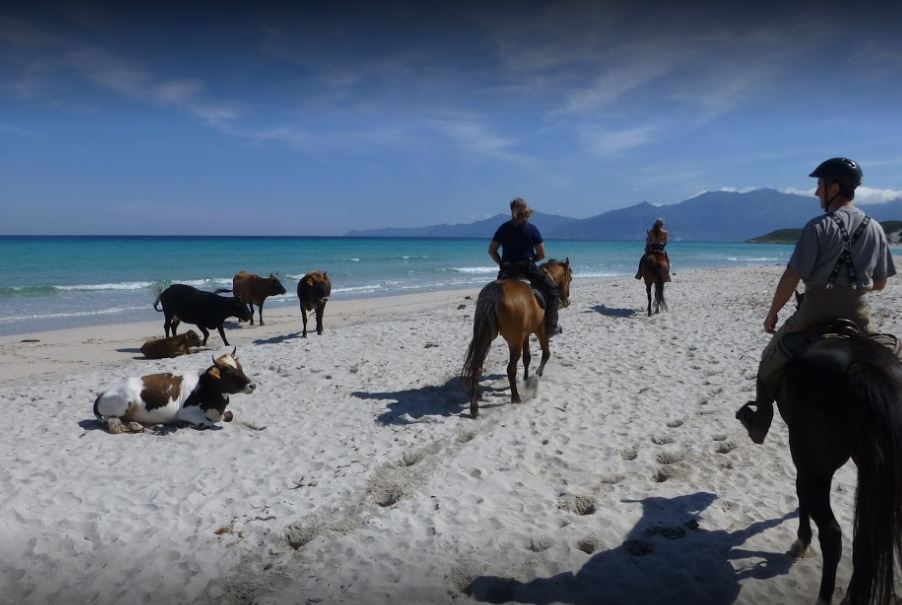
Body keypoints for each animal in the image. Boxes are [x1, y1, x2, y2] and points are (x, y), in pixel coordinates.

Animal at [462, 258, 572, 419]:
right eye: (570, 278)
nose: (567, 300)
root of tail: (496, 293)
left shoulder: (524, 335)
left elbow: (527, 357)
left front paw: (526, 378)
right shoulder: (541, 333)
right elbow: (546, 354)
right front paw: (535, 376)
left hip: (488, 337)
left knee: (477, 368)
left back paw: (474, 408)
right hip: (514, 342)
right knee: (511, 369)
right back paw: (516, 397)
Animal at [778, 331, 902, 604]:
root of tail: (859, 367)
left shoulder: (806, 464)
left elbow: (800, 492)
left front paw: (801, 542)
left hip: (816, 468)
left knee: (832, 536)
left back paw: (825, 597)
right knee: (867, 539)